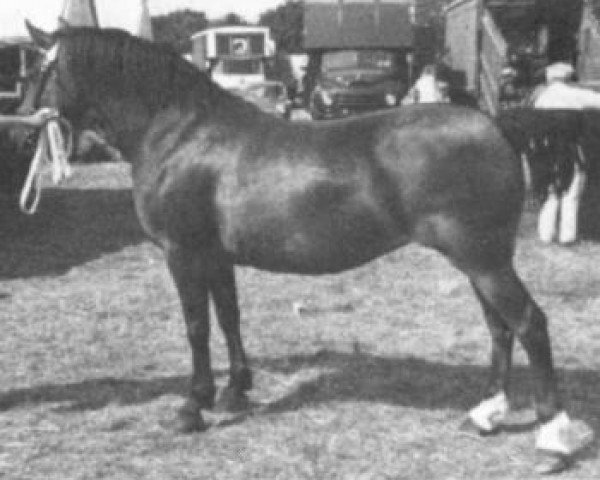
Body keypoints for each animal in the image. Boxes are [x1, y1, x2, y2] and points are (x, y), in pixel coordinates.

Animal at [19, 24, 596, 470]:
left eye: (36, 72)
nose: (20, 133)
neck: (181, 133)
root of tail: (497, 123)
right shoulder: (215, 257)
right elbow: (228, 317)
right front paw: (235, 391)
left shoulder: (182, 253)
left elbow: (197, 326)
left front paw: (192, 407)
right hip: (481, 261)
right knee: (500, 328)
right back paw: (485, 414)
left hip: (483, 259)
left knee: (530, 323)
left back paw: (553, 440)